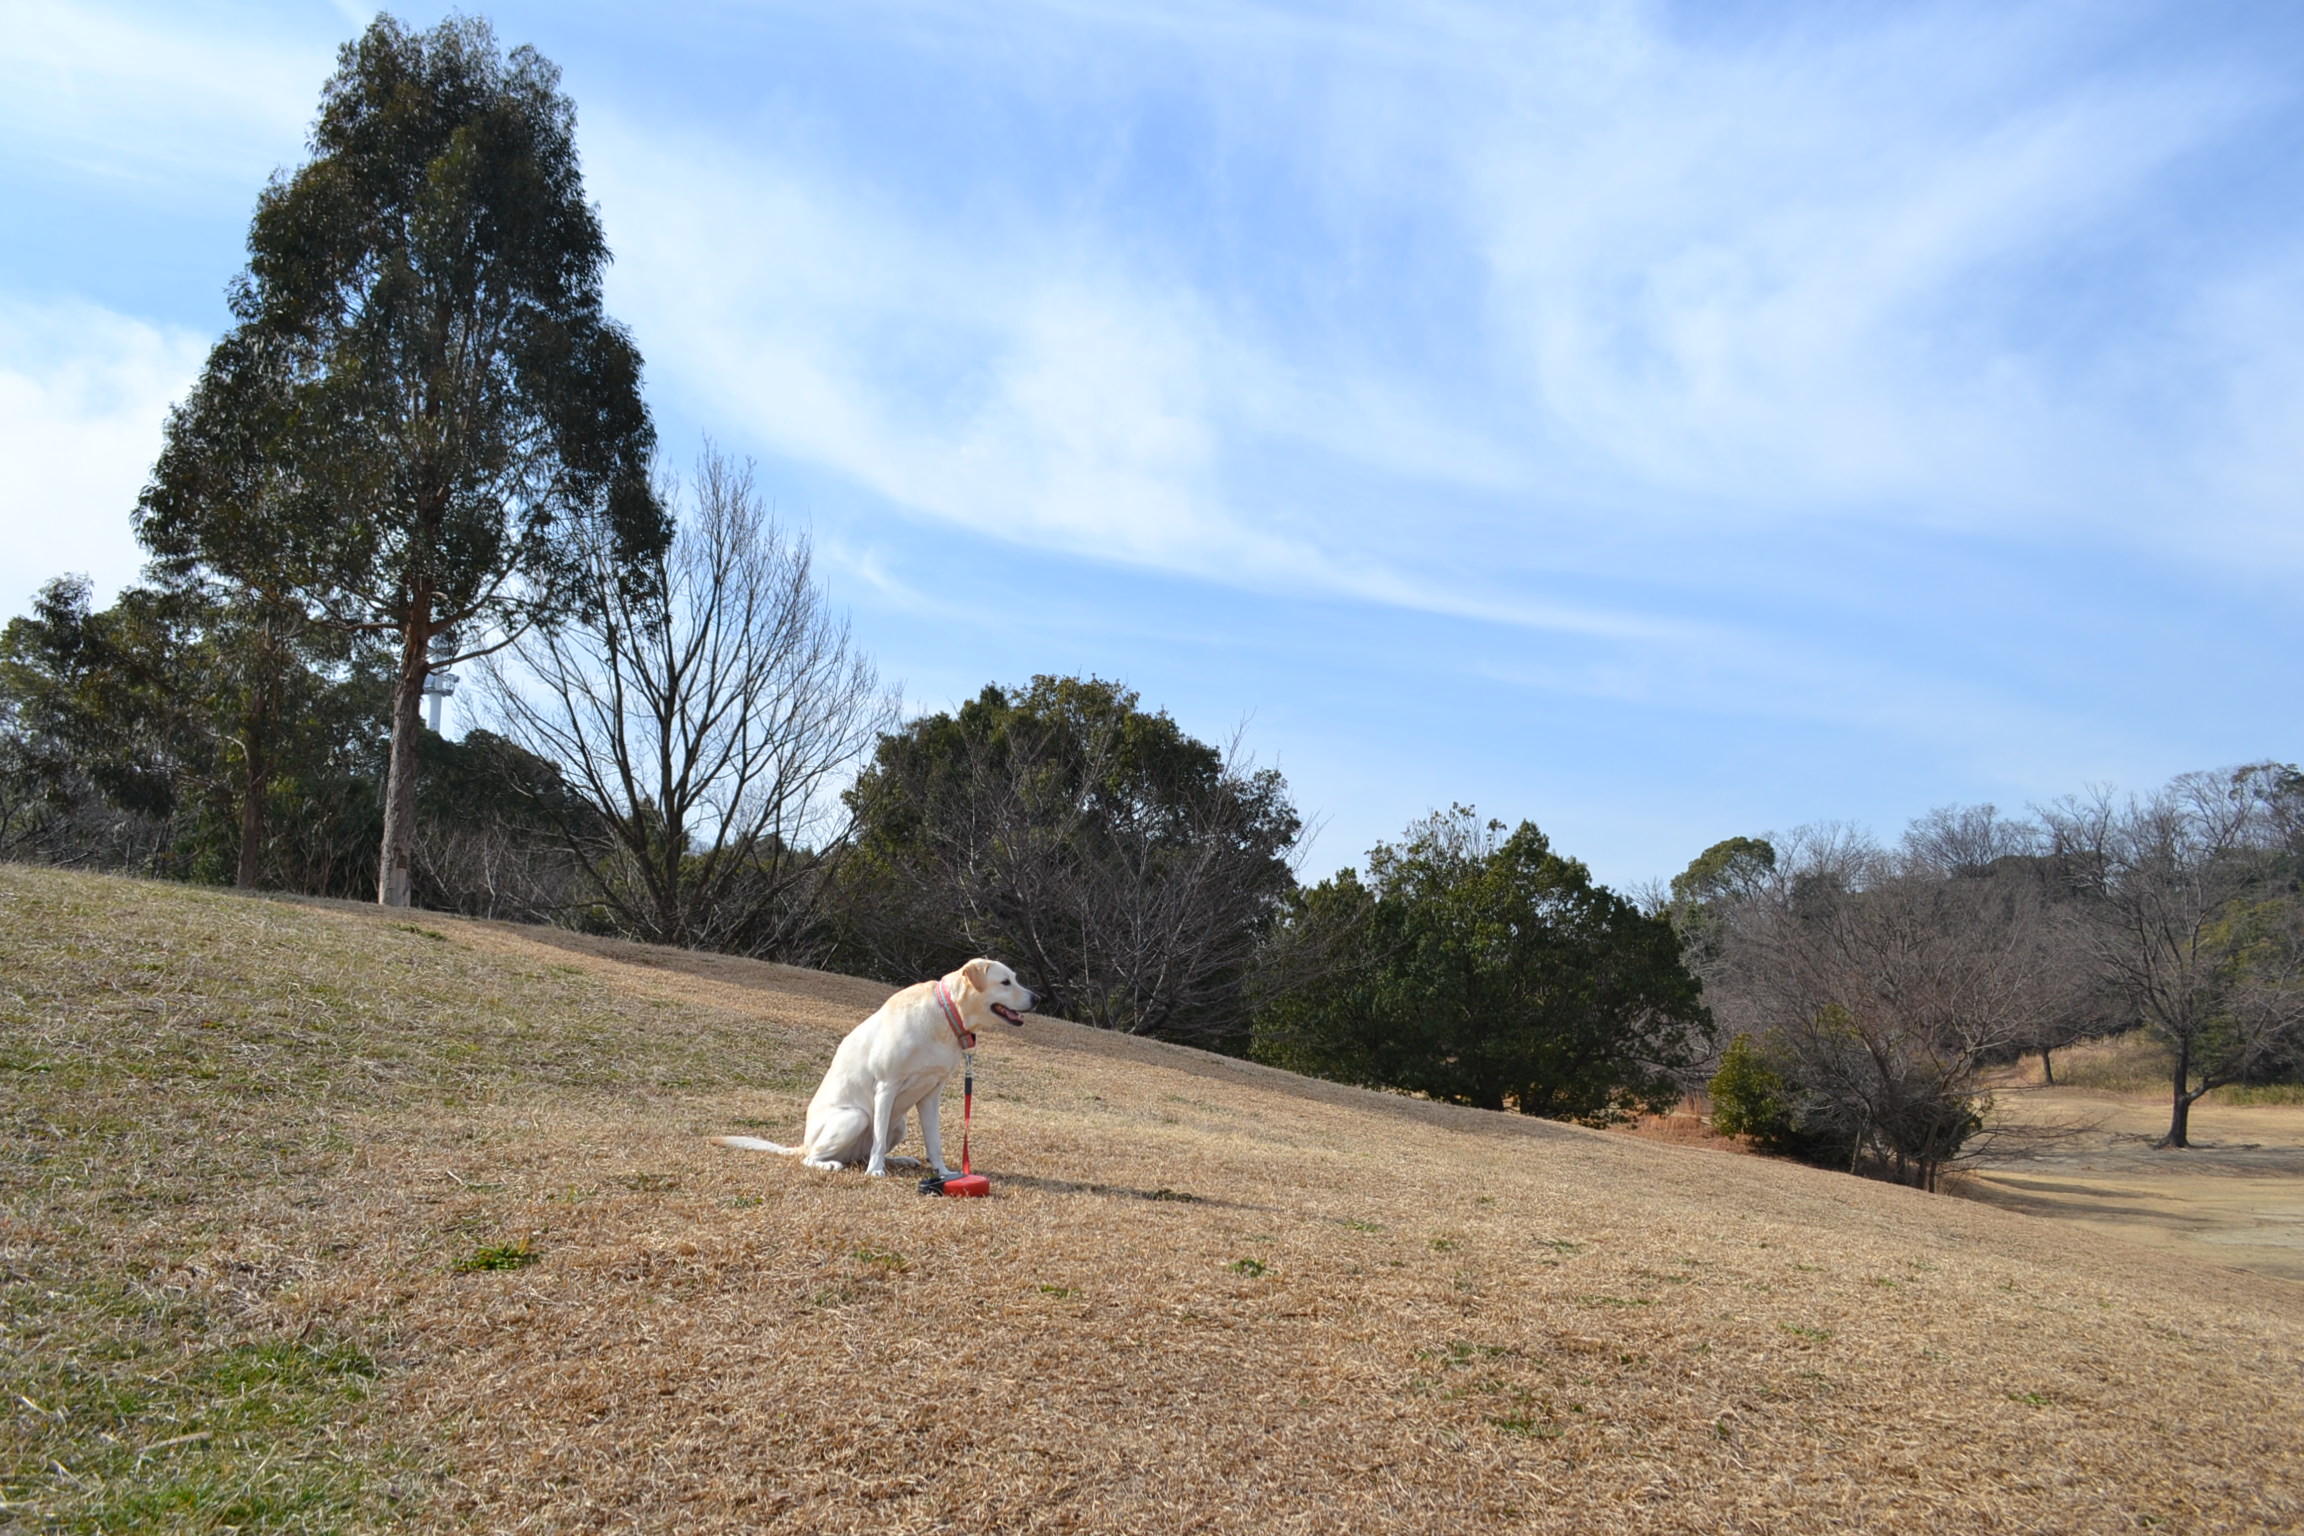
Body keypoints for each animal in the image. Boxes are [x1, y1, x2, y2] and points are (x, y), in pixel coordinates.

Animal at [714, 962, 1032, 1179]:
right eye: (1005, 982)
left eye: (1016, 979)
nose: (1037, 998)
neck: (945, 1014)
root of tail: (803, 1144)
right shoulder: (886, 1087)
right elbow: (878, 1138)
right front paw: (876, 1171)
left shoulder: (931, 1095)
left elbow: (934, 1142)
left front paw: (942, 1172)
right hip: (855, 1117)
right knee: (815, 1156)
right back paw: (832, 1163)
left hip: (900, 1125)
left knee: (864, 1152)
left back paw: (899, 1160)